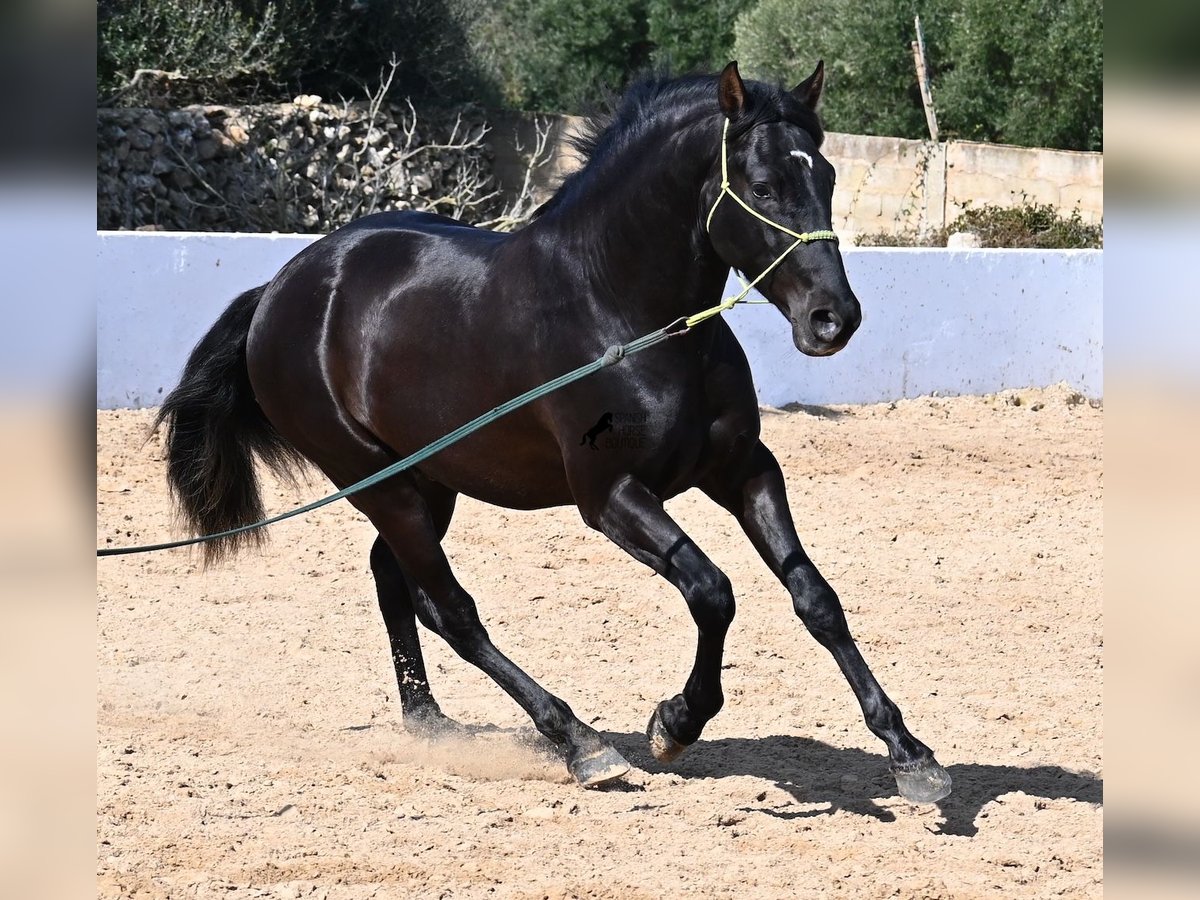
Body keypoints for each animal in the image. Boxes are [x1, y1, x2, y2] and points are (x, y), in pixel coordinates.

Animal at [159, 65, 950, 801]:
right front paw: (674, 722)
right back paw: (579, 742)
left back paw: (431, 723)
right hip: (374, 482)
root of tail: (280, 290)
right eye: (759, 184)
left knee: (395, 579)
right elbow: (712, 591)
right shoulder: (610, 496)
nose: (833, 319)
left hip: (425, 481)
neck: (622, 313)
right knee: (452, 610)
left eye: (826, 174)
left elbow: (816, 598)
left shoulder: (743, 469)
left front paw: (911, 754)